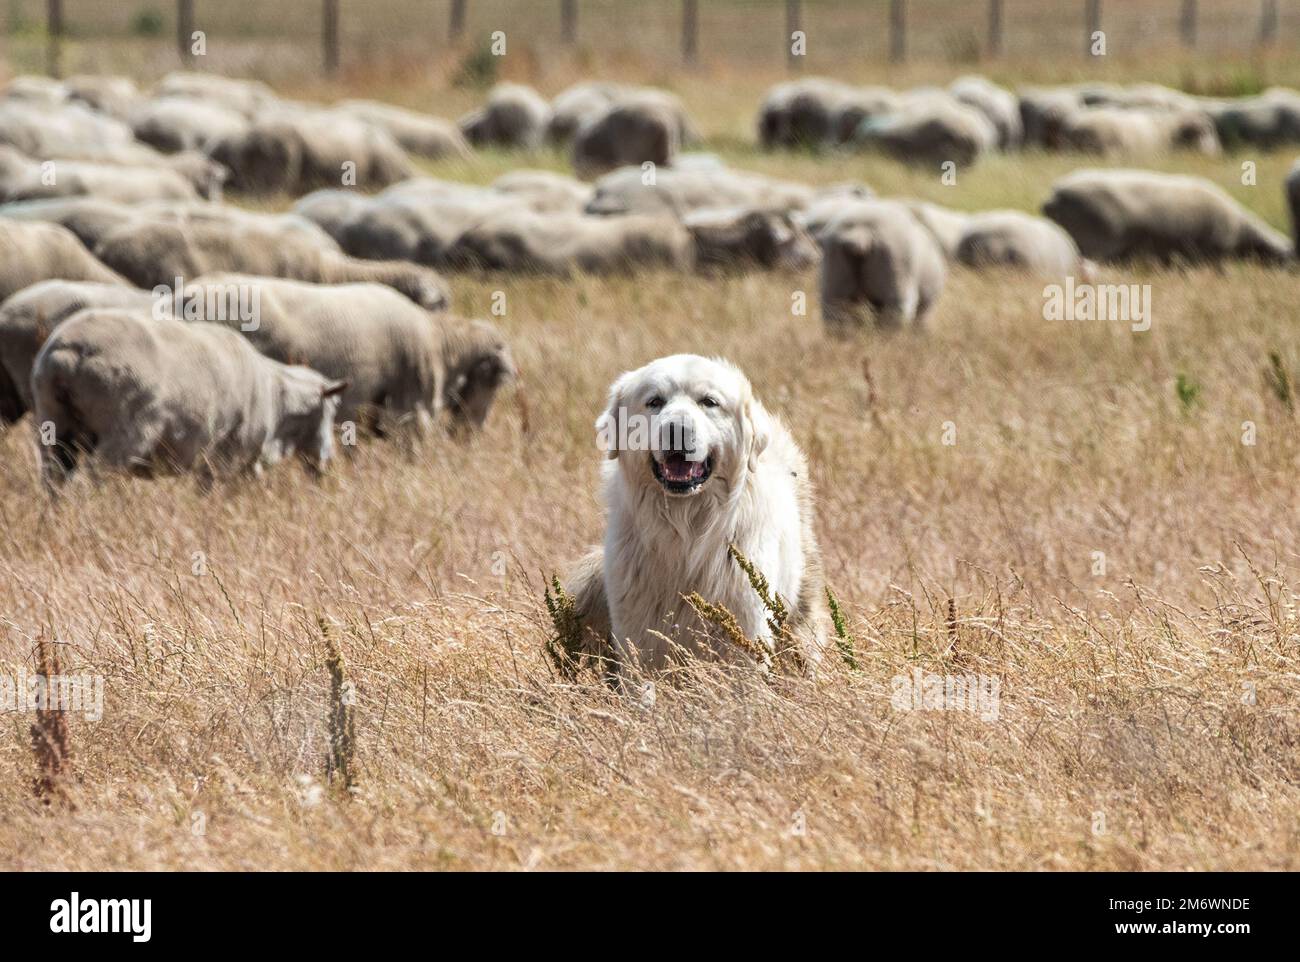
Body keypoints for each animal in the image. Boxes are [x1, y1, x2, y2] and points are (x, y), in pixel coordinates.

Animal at [564, 353, 826, 676]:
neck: (686, 530)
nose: (677, 429)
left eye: (709, 402)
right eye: (654, 402)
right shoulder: (639, 637)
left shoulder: (743, 636)